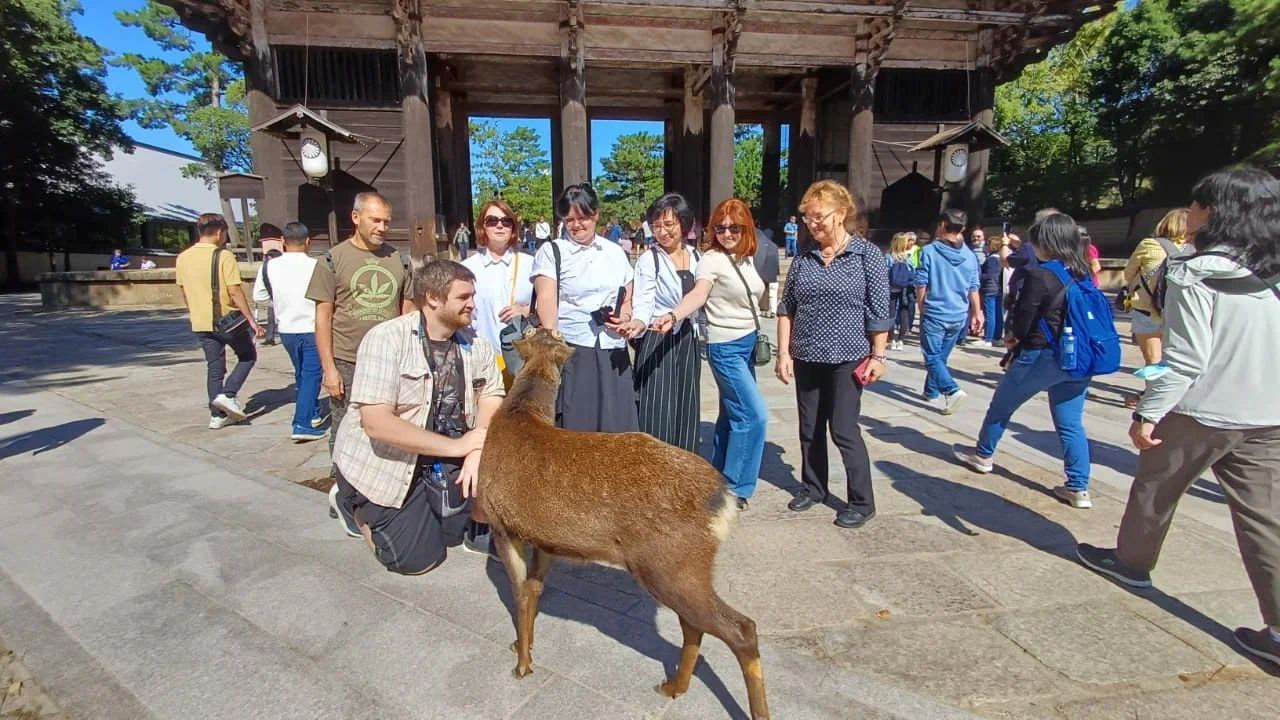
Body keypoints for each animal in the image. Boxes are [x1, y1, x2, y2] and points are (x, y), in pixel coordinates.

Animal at [475, 327, 770, 720]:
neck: (520, 413)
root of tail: (723, 501)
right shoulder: (545, 538)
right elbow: (534, 590)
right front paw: (523, 646)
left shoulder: (501, 523)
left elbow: (520, 592)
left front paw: (522, 666)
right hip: (681, 569)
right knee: (694, 626)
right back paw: (672, 686)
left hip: (670, 563)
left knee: (741, 628)